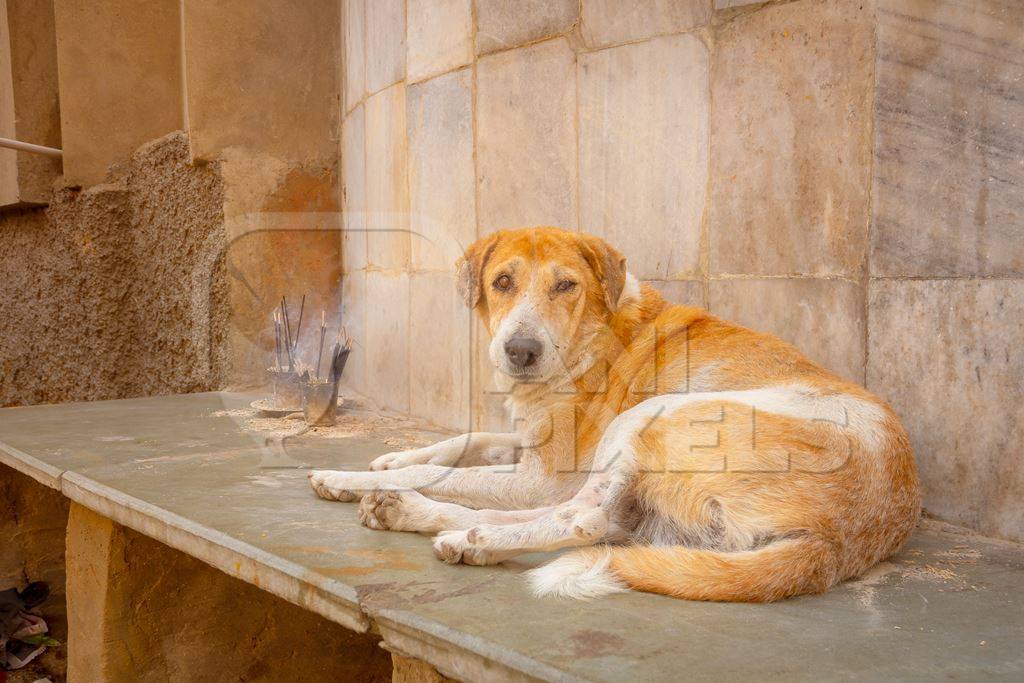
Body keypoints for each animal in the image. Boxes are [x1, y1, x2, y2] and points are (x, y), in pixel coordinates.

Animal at [305, 227, 921, 602]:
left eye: (565, 286)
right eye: (502, 282)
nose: (520, 351)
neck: (589, 336)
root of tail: (838, 544)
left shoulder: (540, 476)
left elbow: (449, 468)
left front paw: (345, 475)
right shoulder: (530, 448)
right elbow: (464, 442)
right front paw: (386, 465)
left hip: (656, 415)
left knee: (584, 521)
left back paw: (466, 536)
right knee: (588, 521)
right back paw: (419, 516)